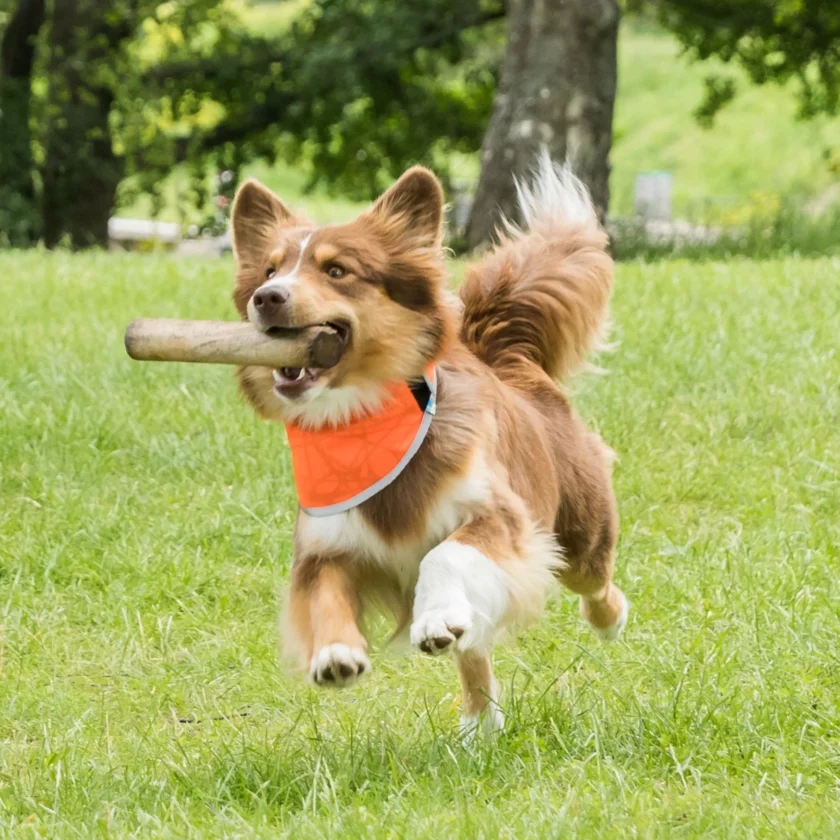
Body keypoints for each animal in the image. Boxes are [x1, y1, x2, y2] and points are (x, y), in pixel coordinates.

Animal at [228, 154, 624, 740]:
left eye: (337, 270)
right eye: (269, 272)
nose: (267, 298)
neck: (360, 423)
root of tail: (502, 362)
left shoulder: (501, 516)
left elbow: (444, 552)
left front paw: (433, 615)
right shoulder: (324, 547)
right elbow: (321, 593)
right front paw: (335, 653)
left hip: (578, 535)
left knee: (595, 584)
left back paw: (608, 621)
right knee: (475, 648)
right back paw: (480, 724)